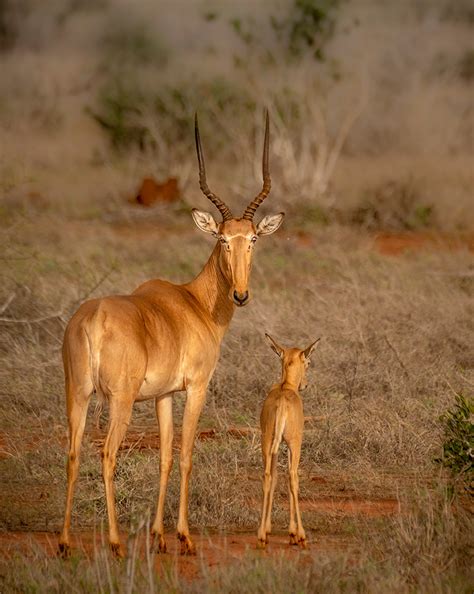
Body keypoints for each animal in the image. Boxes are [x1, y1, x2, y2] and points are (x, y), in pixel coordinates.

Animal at [57, 111, 284, 556]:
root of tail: (92, 318)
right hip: (119, 402)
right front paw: (184, 536)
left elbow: (163, 455)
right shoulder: (196, 388)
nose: (240, 294)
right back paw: (115, 542)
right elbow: (186, 454)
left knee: (73, 453)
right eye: (222, 238)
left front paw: (160, 536)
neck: (193, 303)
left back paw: (64, 542)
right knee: (106, 454)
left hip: (79, 393)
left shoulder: (162, 395)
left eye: (251, 238)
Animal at [258, 332, 320, 544]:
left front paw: (269, 528)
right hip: (294, 443)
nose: (305, 385)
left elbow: (276, 476)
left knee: (268, 476)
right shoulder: (294, 443)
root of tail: (282, 404)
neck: (286, 387)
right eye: (308, 362)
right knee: (293, 476)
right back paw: (300, 534)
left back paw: (262, 534)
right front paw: (293, 532)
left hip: (267, 442)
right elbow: (291, 477)